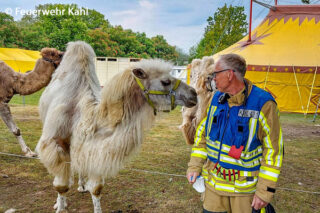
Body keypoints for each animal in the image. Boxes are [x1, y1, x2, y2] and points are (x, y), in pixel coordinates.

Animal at [37, 40, 198, 212]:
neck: (85, 115)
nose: (193, 94)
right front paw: (60, 206)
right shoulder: (54, 143)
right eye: (165, 81)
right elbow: (61, 186)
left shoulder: (95, 150)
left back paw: (81, 186)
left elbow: (96, 188)